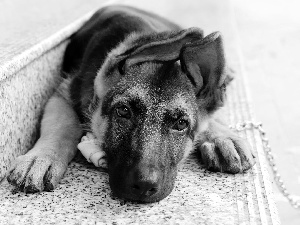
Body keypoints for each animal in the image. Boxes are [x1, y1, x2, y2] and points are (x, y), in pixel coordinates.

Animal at [7, 5, 254, 203]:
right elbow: (61, 126)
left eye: (181, 124)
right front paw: (41, 157)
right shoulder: (63, 92)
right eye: (123, 111)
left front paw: (222, 136)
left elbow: (211, 116)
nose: (144, 186)